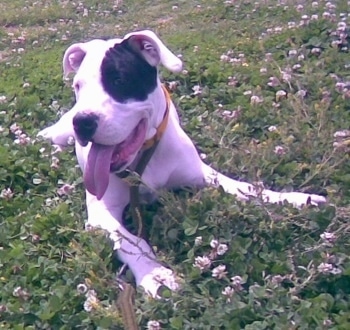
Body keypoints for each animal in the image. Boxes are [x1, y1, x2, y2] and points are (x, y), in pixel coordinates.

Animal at [38, 30, 326, 296]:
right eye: (78, 86)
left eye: (119, 80)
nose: (83, 122)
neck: (145, 156)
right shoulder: (100, 211)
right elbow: (129, 241)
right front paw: (155, 274)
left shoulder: (202, 174)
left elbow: (247, 189)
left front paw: (295, 199)